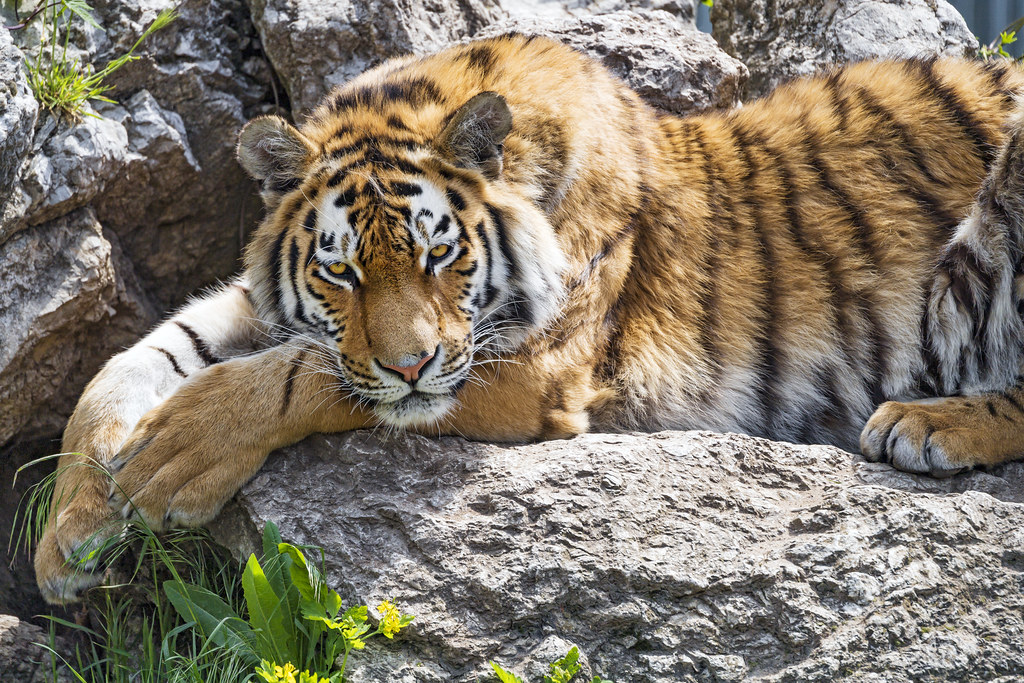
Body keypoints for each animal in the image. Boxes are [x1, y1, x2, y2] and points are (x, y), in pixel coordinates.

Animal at [33, 32, 1024, 604]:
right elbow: (123, 366)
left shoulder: (530, 369)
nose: (410, 365)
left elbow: (302, 376)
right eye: (341, 271)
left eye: (439, 254)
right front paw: (66, 535)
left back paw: (923, 423)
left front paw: (170, 458)